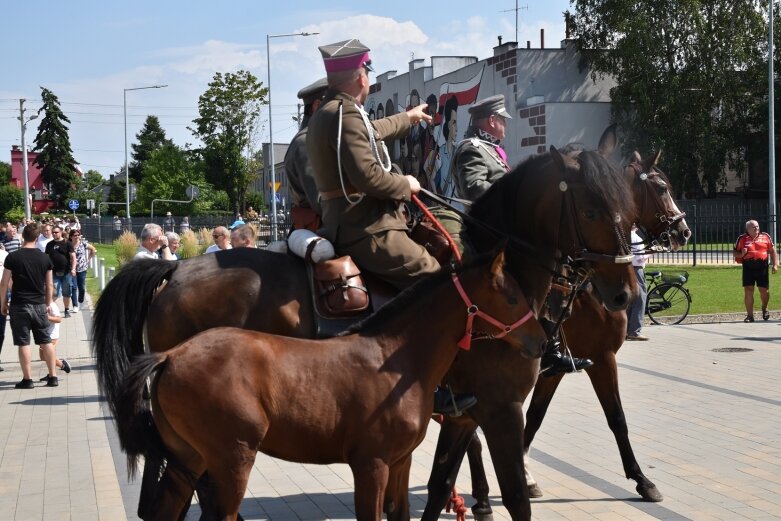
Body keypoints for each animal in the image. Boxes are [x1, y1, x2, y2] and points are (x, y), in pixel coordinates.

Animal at [112, 249, 544, 520]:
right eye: (511, 297)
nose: (542, 343)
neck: (393, 358)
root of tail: (171, 356)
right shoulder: (371, 464)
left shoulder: (400, 462)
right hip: (232, 458)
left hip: (188, 456)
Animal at [424, 136, 692, 516]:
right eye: (662, 187)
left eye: (624, 210)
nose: (683, 231)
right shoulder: (601, 357)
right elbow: (617, 418)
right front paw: (642, 479)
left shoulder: (556, 368)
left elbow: (535, 418)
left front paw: (525, 473)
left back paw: (480, 496)